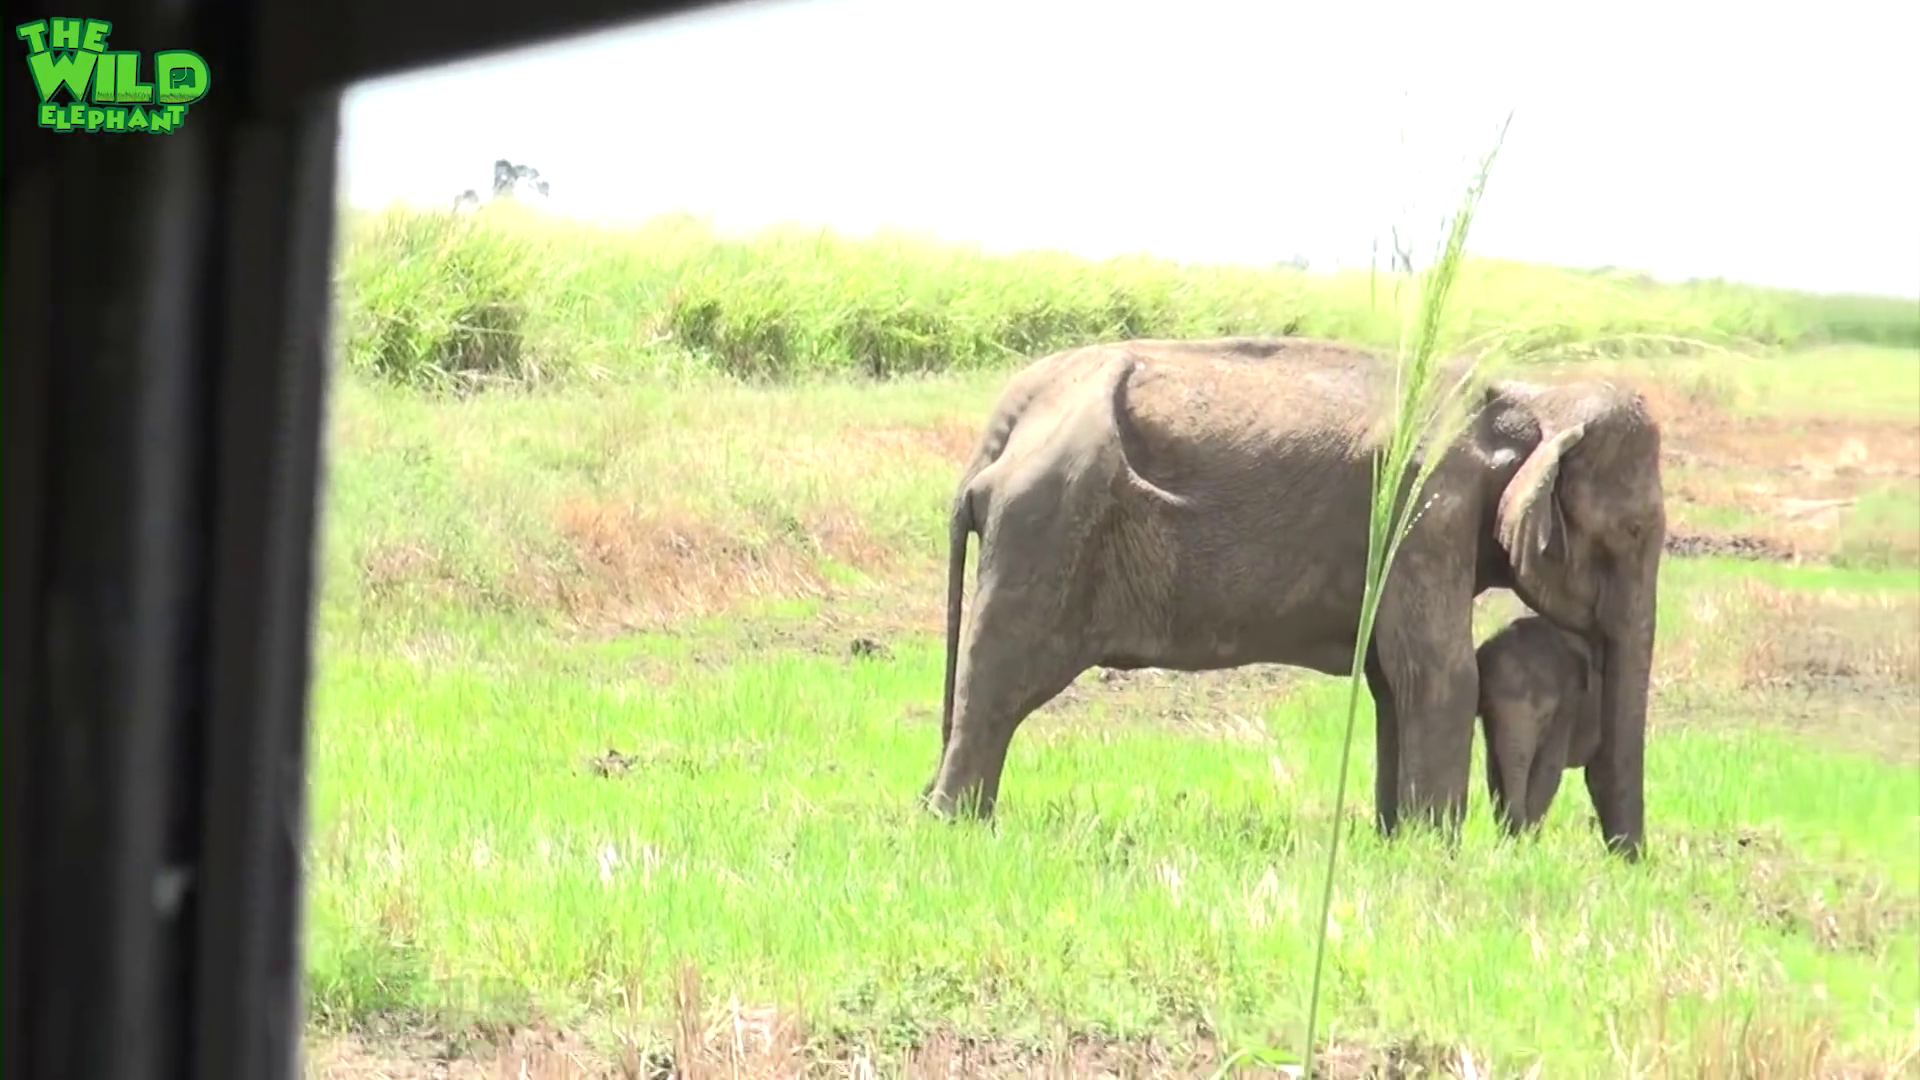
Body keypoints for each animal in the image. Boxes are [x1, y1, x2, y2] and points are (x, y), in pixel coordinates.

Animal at [1474, 614, 1597, 834]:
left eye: (1545, 718)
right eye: (1488, 713)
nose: (1517, 828)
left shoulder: (1567, 706)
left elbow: (1547, 771)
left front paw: (1527, 836)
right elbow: (1493, 772)